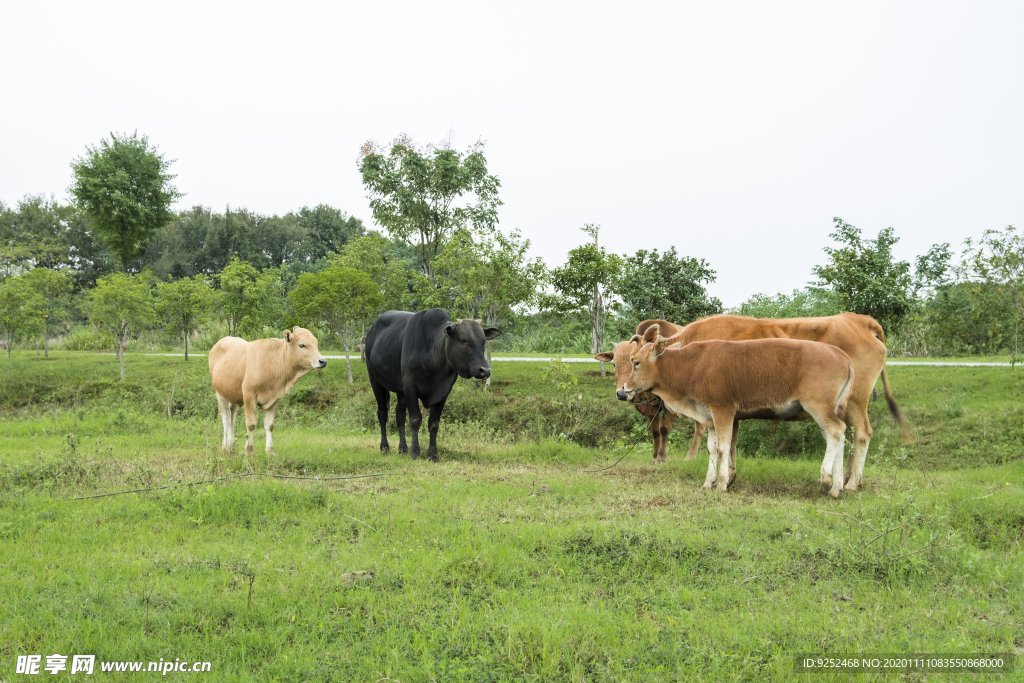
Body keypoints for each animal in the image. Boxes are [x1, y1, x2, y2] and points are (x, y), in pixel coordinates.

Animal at [204, 327, 323, 456]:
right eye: (302, 345)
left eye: (316, 343)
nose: (323, 361)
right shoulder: (249, 395)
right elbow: (251, 424)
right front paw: (249, 450)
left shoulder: (276, 398)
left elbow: (269, 425)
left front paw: (270, 451)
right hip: (219, 393)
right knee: (226, 419)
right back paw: (225, 447)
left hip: (232, 394)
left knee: (232, 417)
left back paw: (232, 446)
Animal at [366, 309, 501, 458]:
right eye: (463, 340)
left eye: (483, 341)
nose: (485, 370)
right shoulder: (410, 386)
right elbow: (415, 419)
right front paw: (415, 452)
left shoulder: (443, 391)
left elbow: (434, 423)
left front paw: (432, 454)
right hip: (375, 380)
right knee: (382, 413)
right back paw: (384, 447)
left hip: (400, 390)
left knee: (399, 414)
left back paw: (402, 449)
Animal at [626, 325, 851, 497]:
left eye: (635, 362)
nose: (623, 391)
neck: (692, 366)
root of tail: (840, 353)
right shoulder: (710, 417)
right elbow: (712, 448)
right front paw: (708, 482)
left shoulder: (723, 411)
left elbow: (723, 448)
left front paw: (722, 484)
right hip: (829, 409)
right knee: (839, 437)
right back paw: (837, 487)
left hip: (818, 407)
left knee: (836, 431)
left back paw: (826, 482)